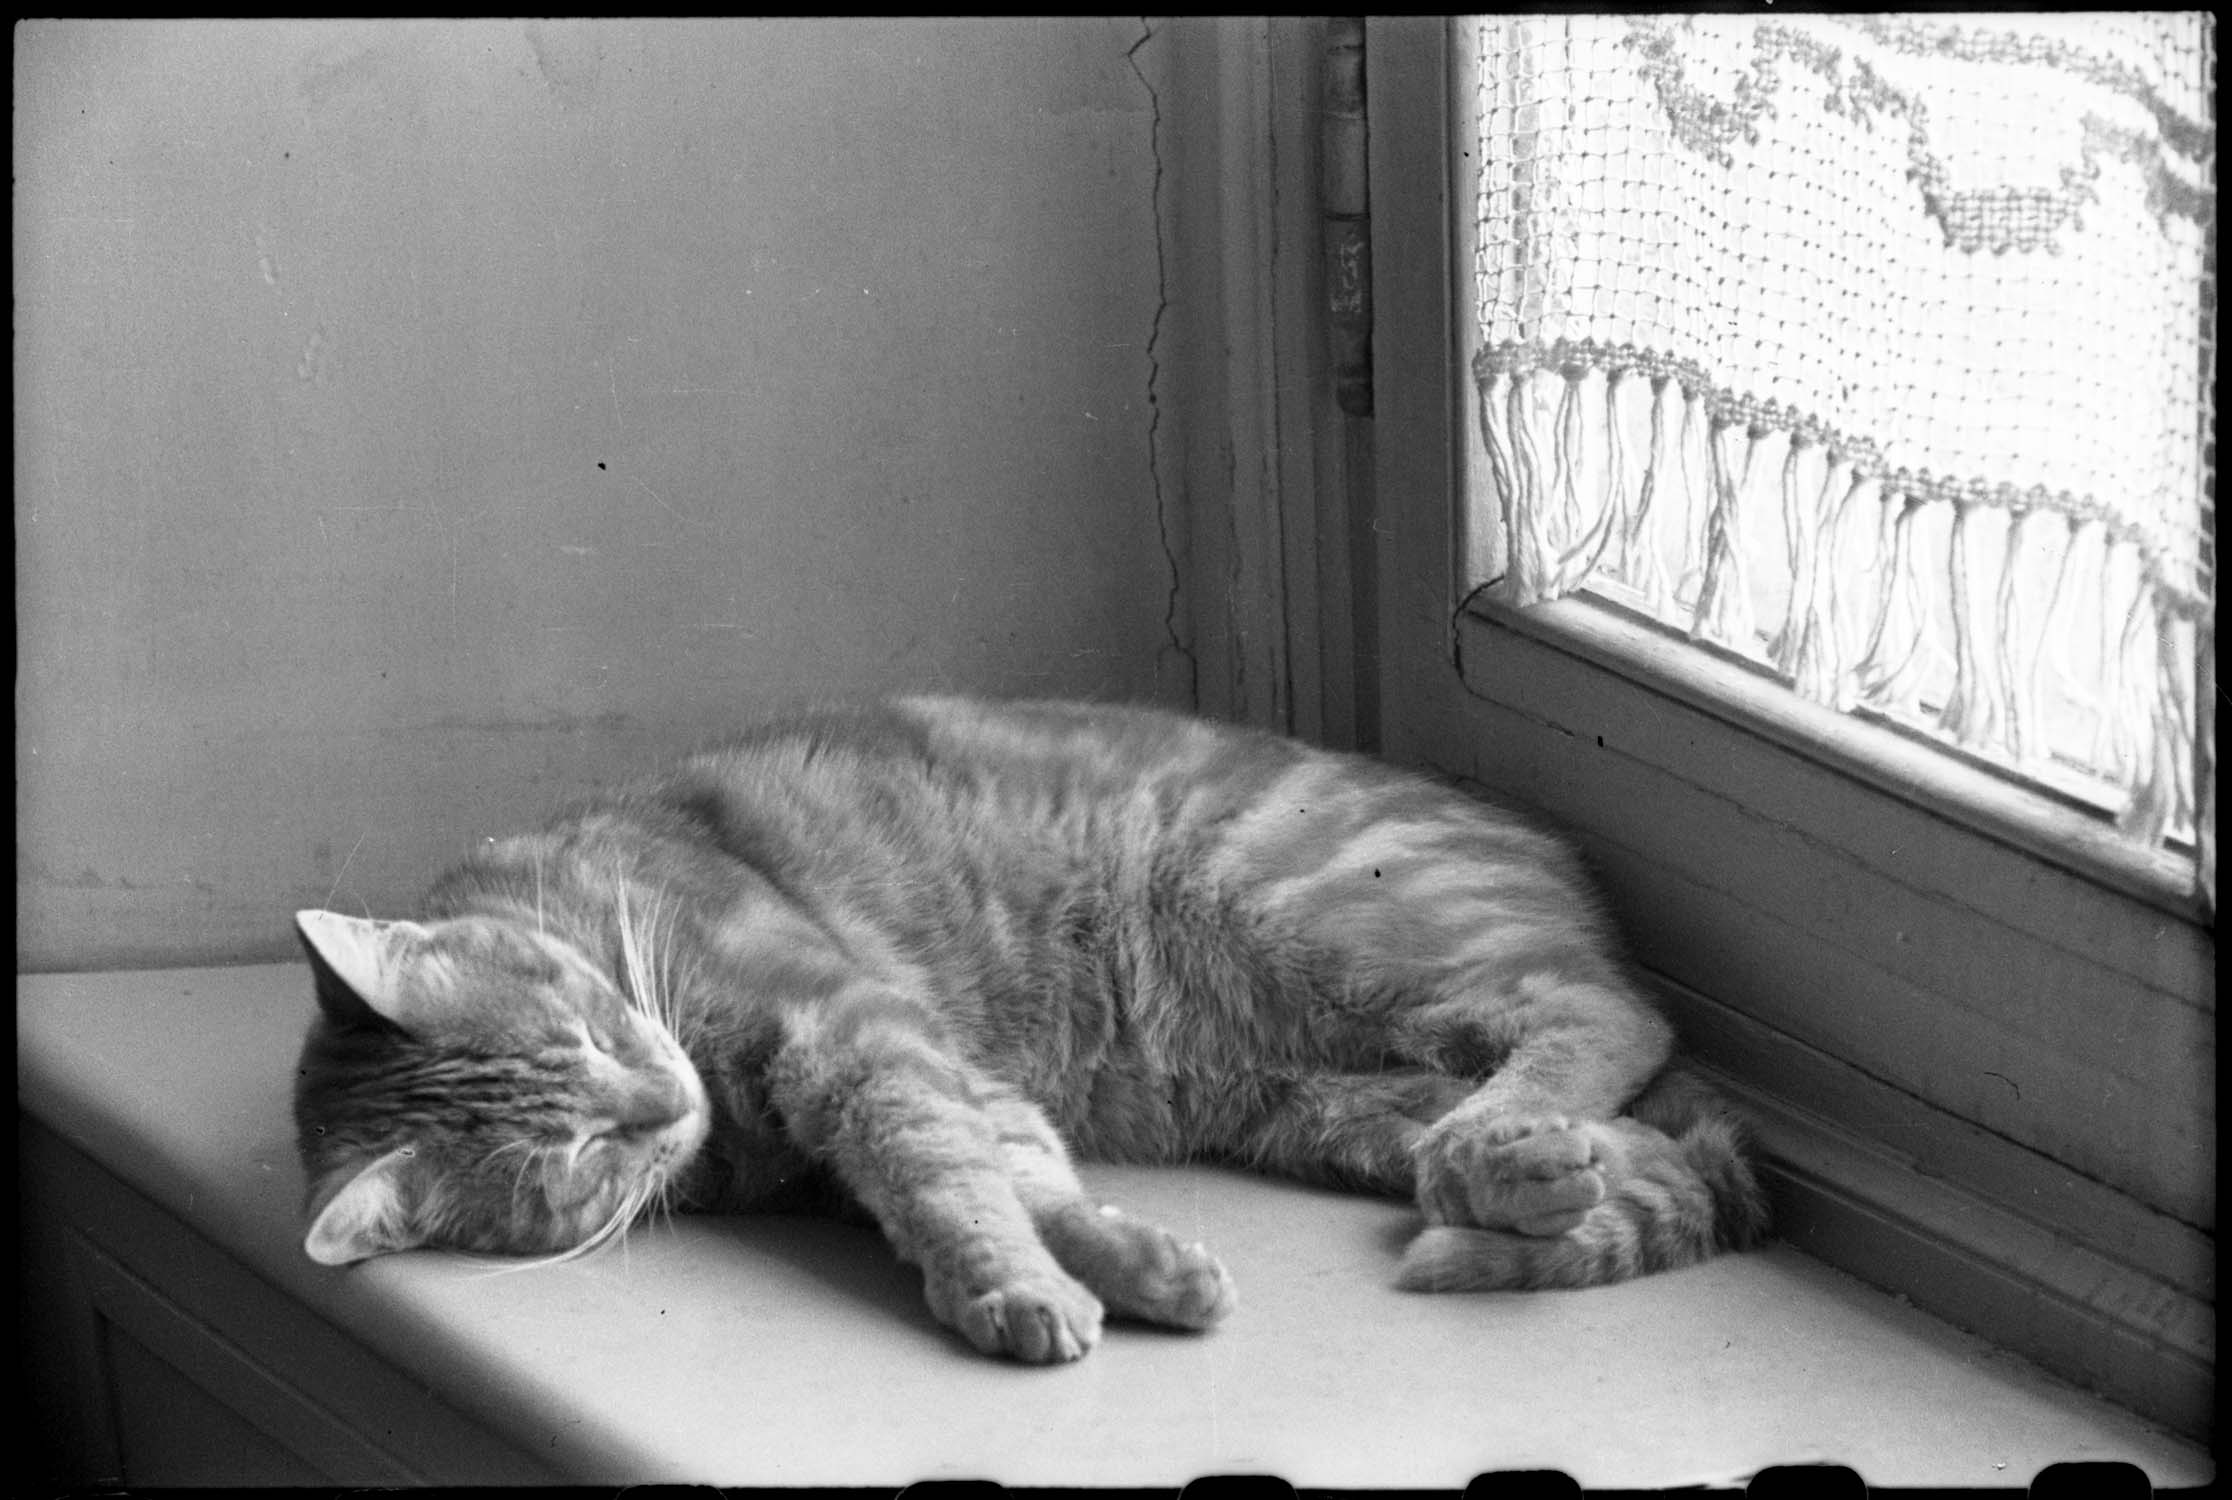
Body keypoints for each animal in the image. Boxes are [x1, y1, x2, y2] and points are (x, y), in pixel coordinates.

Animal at [292, 696, 1758, 1366]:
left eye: (595, 1037)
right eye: (584, 1159)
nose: (662, 1106)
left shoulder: (852, 1033)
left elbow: (945, 1181)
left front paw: (1015, 1291)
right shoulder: (917, 1088)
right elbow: (1013, 1177)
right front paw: (1130, 1268)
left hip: (1327, 922)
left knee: (1606, 1013)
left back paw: (1509, 1139)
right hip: (1325, 1106)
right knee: (1637, 1152)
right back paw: (1530, 1170)